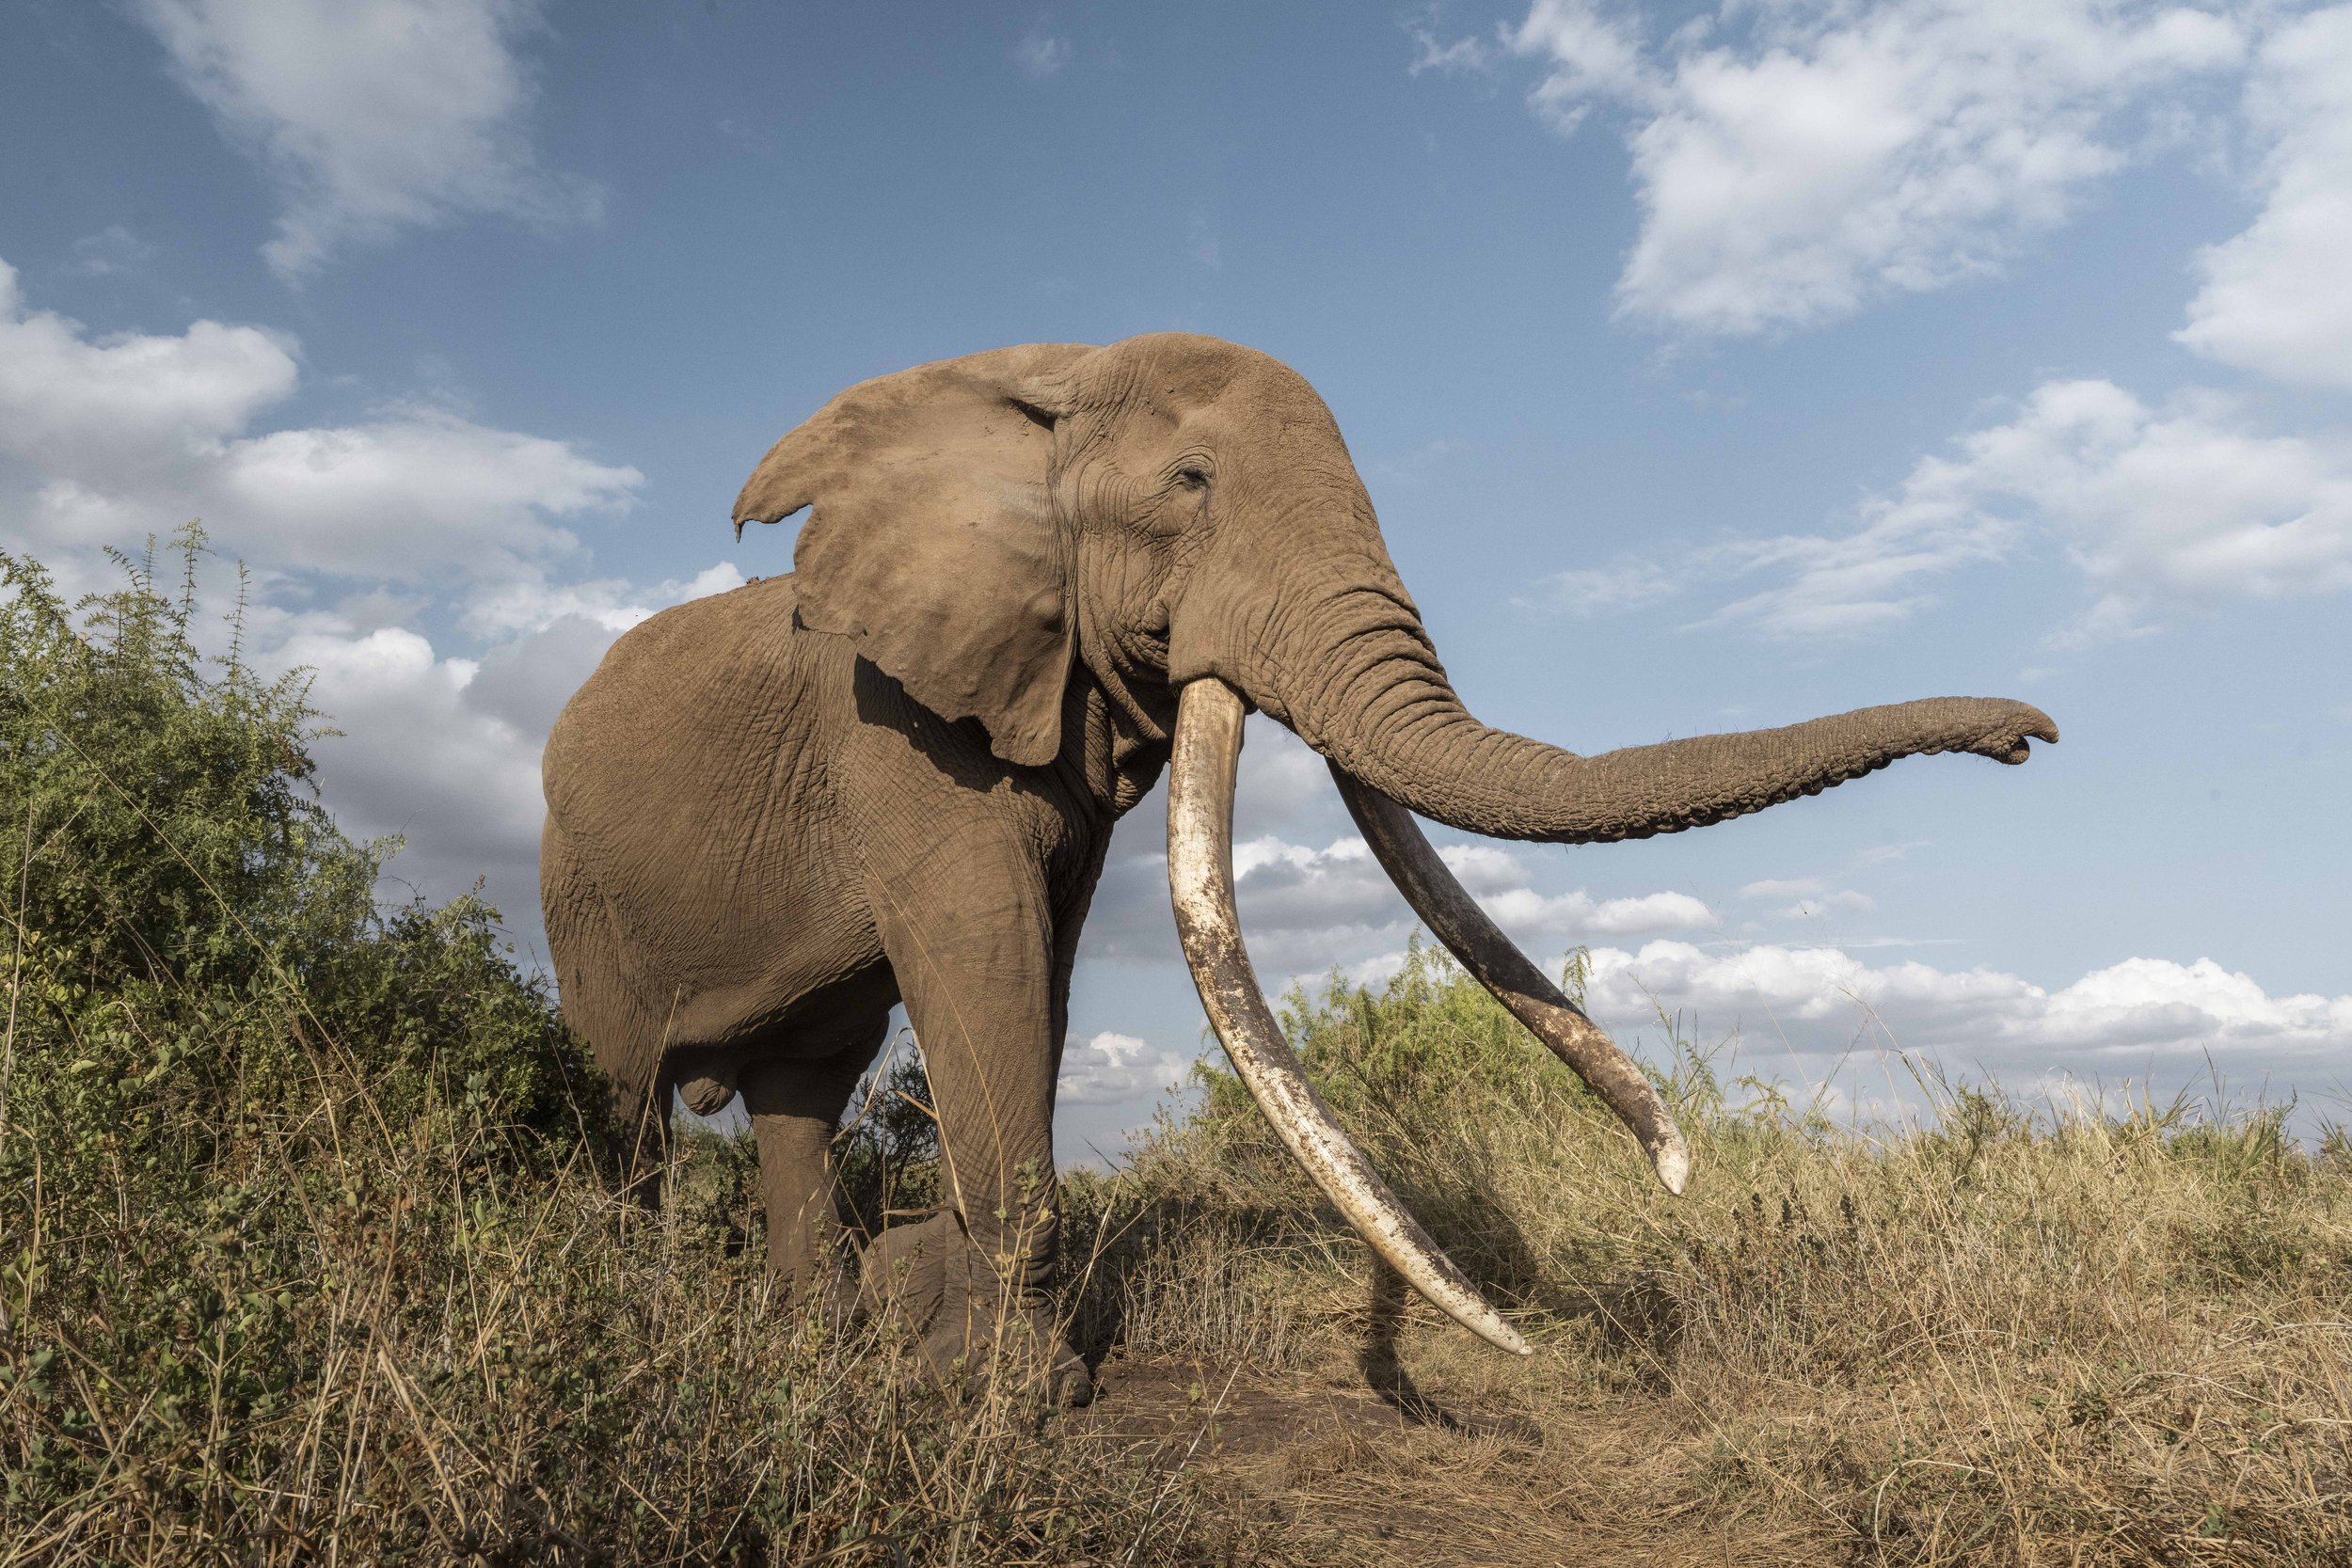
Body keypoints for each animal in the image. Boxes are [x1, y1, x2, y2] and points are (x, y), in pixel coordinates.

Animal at [539, 332, 2056, 1406]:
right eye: (1190, 485)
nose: (2032, 735)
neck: (1035, 377)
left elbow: (1045, 964)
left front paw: (967, 1348)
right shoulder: (890, 712)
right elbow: (981, 947)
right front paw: (1005, 1391)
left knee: (802, 1085)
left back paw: (813, 1338)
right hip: (576, 883)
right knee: (629, 1099)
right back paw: (638, 1320)